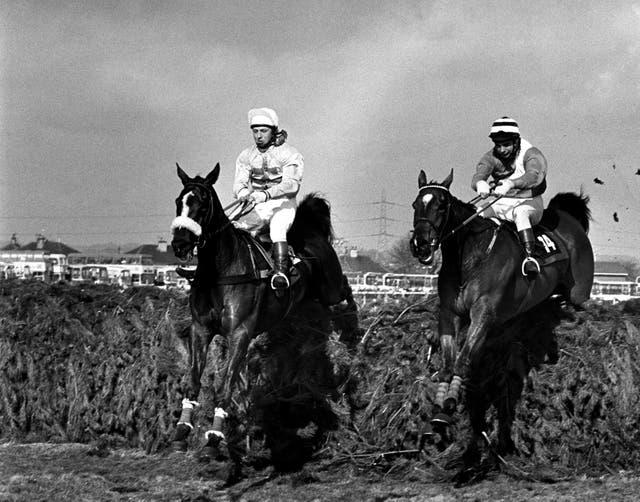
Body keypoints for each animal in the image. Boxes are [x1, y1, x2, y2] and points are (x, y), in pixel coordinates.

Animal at [170, 164, 358, 474]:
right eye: (179, 201)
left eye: (202, 203)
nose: (180, 243)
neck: (222, 270)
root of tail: (310, 231)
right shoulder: (201, 330)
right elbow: (194, 379)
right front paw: (183, 427)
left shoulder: (240, 333)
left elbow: (226, 384)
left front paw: (213, 438)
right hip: (310, 298)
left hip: (330, 286)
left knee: (345, 287)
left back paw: (353, 327)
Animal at [412, 171, 592, 460]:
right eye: (415, 205)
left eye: (441, 204)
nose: (420, 245)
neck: (469, 257)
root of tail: (568, 218)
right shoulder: (449, 314)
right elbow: (448, 365)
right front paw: (438, 412)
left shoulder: (484, 313)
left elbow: (463, 361)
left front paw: (449, 404)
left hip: (580, 292)